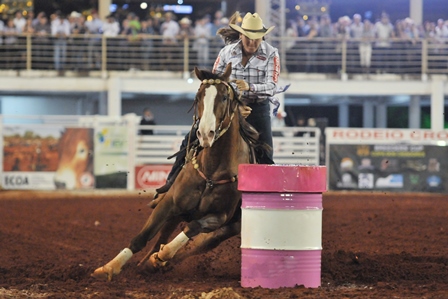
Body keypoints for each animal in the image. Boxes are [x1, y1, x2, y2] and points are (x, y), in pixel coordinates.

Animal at [92, 64, 264, 282]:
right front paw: (109, 267)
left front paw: (163, 255)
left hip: (226, 229)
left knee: (195, 246)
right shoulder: (169, 204)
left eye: (225, 97)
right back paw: (145, 264)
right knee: (160, 239)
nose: (205, 133)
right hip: (176, 213)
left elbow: (191, 229)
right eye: (198, 96)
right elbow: (142, 238)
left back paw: (158, 262)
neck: (211, 172)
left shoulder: (219, 217)